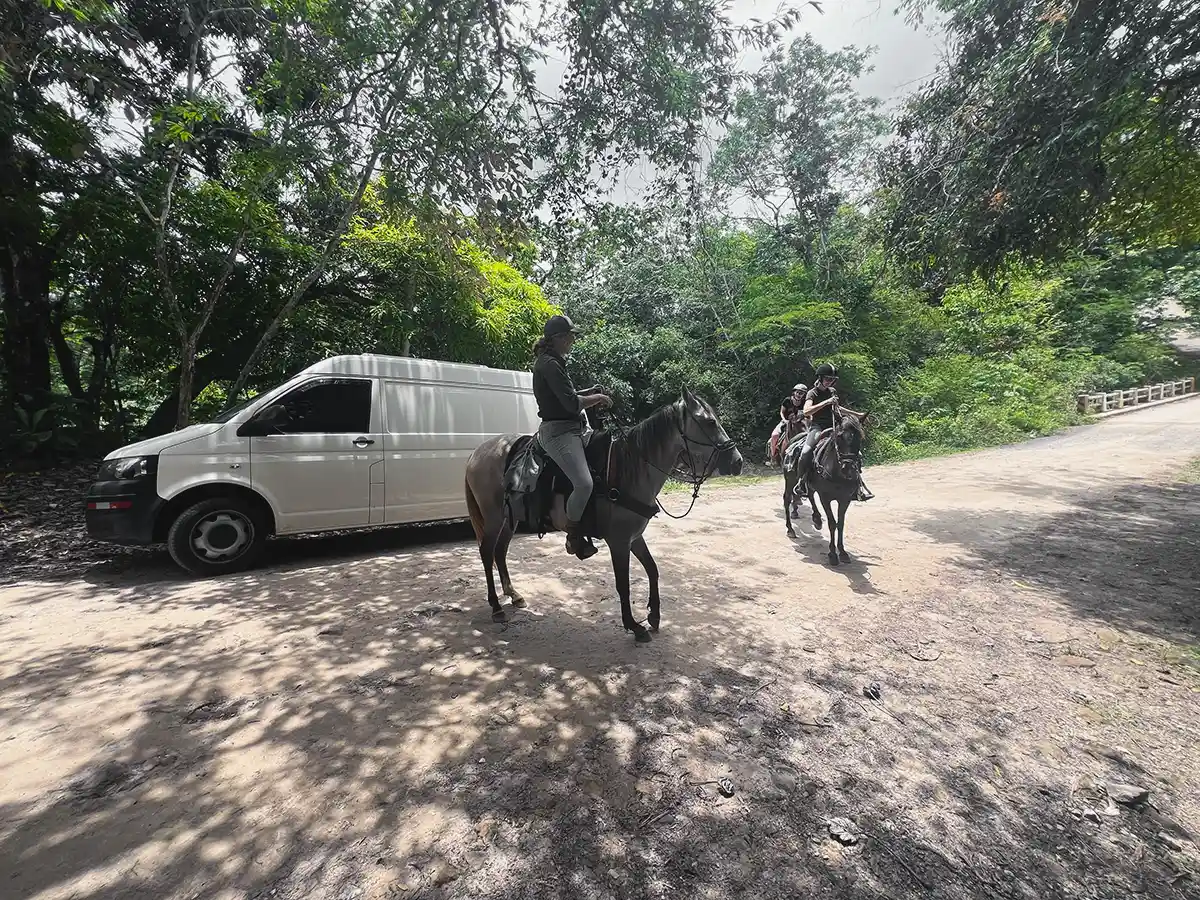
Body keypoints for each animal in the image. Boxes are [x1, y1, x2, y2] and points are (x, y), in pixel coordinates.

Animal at [465, 391, 739, 643]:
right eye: (710, 422)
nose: (737, 461)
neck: (630, 470)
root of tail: (477, 452)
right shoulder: (618, 541)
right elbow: (623, 584)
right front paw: (634, 626)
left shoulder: (634, 538)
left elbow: (652, 570)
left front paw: (654, 616)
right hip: (493, 519)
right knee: (487, 552)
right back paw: (496, 607)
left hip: (508, 520)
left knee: (499, 552)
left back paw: (514, 595)